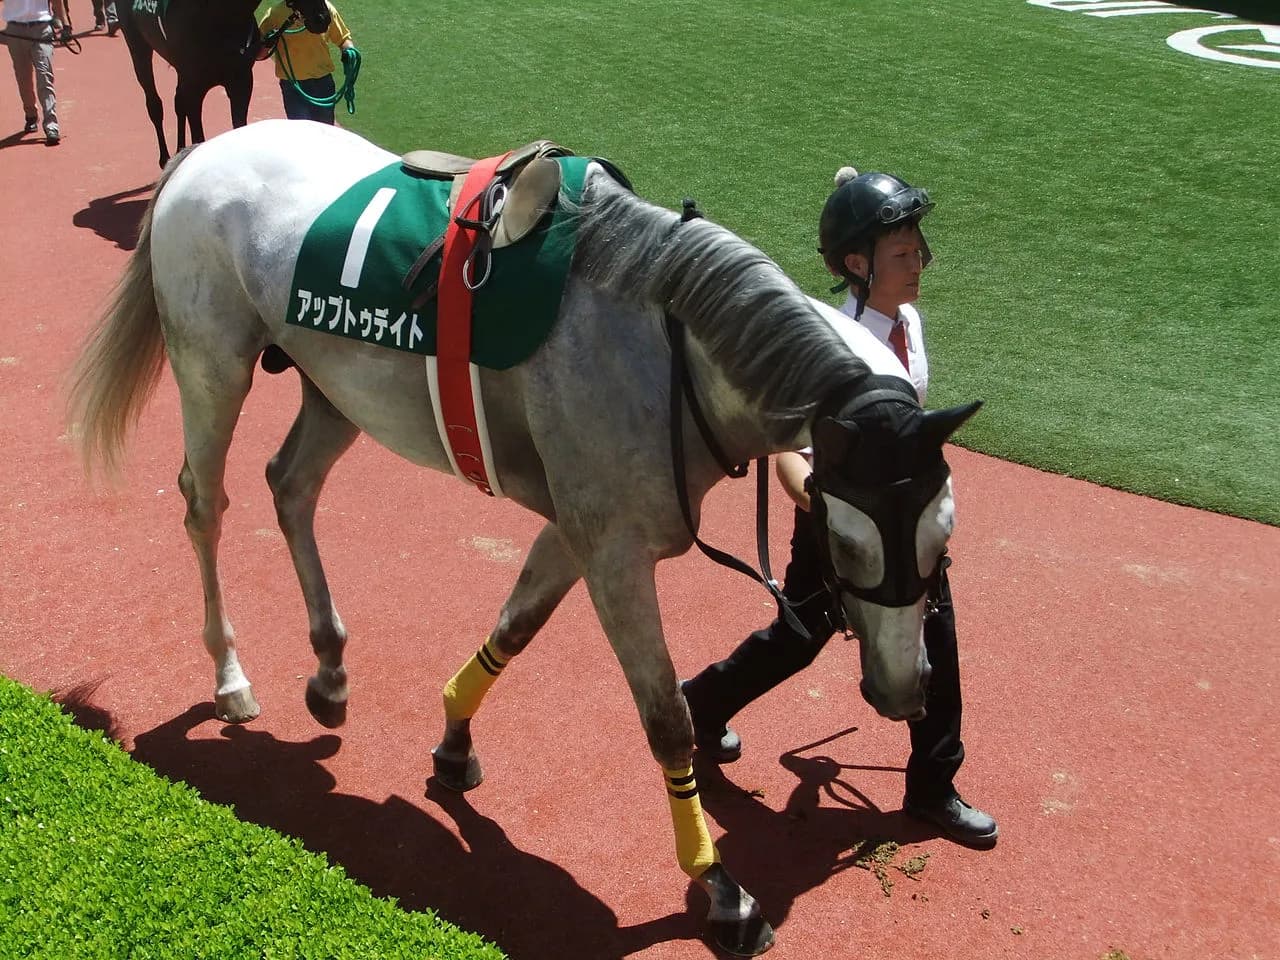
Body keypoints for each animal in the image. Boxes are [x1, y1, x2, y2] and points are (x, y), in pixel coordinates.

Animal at [67, 119, 981, 956]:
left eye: (941, 545)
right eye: (849, 544)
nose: (905, 693)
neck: (667, 349)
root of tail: (210, 146)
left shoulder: (582, 527)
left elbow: (516, 626)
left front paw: (453, 740)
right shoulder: (614, 551)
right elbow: (667, 719)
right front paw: (721, 888)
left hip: (335, 386)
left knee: (290, 486)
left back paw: (329, 669)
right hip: (211, 361)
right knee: (206, 505)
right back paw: (230, 676)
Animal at [117, 0, 331, 167]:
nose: (322, 18)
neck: (220, 17)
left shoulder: (242, 82)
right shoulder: (195, 86)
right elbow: (198, 136)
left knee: (179, 102)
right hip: (137, 44)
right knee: (154, 104)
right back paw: (165, 159)